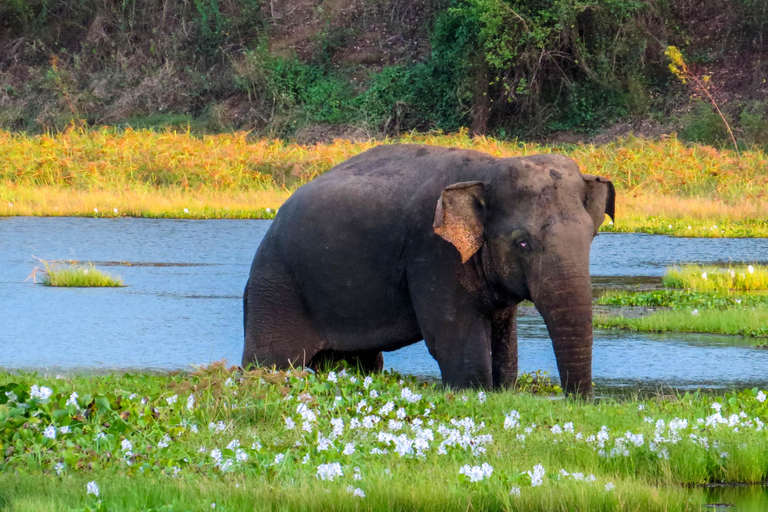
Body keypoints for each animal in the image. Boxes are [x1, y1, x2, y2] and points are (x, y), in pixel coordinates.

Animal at [243, 144, 616, 396]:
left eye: (591, 237)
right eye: (522, 243)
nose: (578, 402)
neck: (488, 169)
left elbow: (504, 340)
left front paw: (503, 390)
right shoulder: (433, 254)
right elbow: (452, 341)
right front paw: (475, 392)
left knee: (361, 362)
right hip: (276, 287)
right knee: (271, 359)